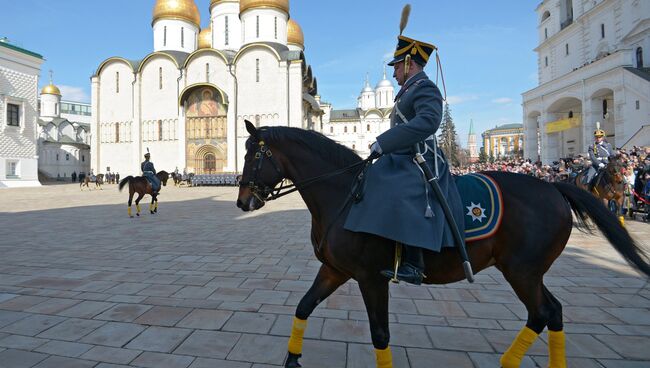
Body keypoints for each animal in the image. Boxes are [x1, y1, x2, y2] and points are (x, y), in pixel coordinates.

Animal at [234, 122, 648, 368]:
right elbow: (303, 308)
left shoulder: (371, 278)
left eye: (254, 154)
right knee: (552, 312)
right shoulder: (335, 269)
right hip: (526, 271)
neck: (345, 195)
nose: (242, 202)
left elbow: (380, 335)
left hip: (523, 272)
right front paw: (292, 360)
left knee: (543, 312)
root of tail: (554, 187)